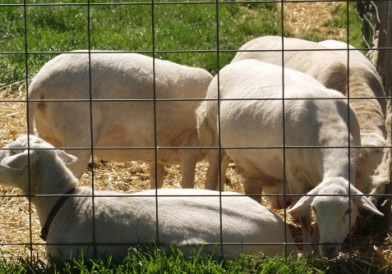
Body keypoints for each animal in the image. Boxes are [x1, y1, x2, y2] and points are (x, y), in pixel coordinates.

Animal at [27, 50, 213, 188]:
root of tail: (39, 83)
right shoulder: (189, 147)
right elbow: (190, 184)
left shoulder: (157, 154)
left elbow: (157, 182)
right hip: (77, 130)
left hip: (48, 134)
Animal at [196, 58, 382, 258]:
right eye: (317, 209)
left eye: (348, 211)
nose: (329, 248)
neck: (331, 129)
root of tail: (234, 64)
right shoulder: (295, 177)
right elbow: (305, 217)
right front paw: (308, 252)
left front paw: (316, 247)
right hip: (213, 134)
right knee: (213, 172)